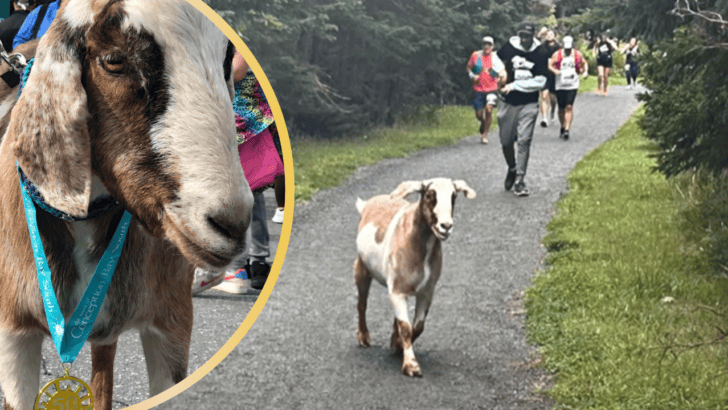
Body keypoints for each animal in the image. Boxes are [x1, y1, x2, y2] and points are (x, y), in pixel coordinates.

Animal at [354, 178, 476, 377]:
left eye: (454, 196)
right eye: (429, 195)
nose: (446, 226)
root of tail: (367, 203)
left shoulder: (426, 291)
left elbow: (417, 326)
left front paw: (397, 345)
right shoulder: (397, 291)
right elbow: (406, 327)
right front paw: (411, 365)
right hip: (361, 267)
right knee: (362, 304)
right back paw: (364, 336)